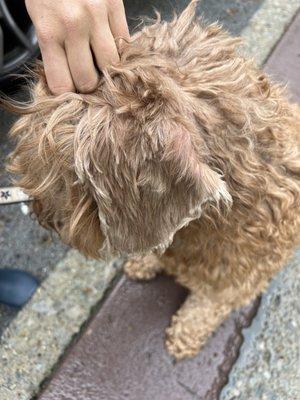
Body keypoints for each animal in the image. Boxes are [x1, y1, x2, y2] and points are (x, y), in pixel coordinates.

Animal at [6, 2, 300, 360]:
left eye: (61, 171)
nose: (37, 210)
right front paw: (144, 262)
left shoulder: (237, 282)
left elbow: (206, 307)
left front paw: (184, 336)